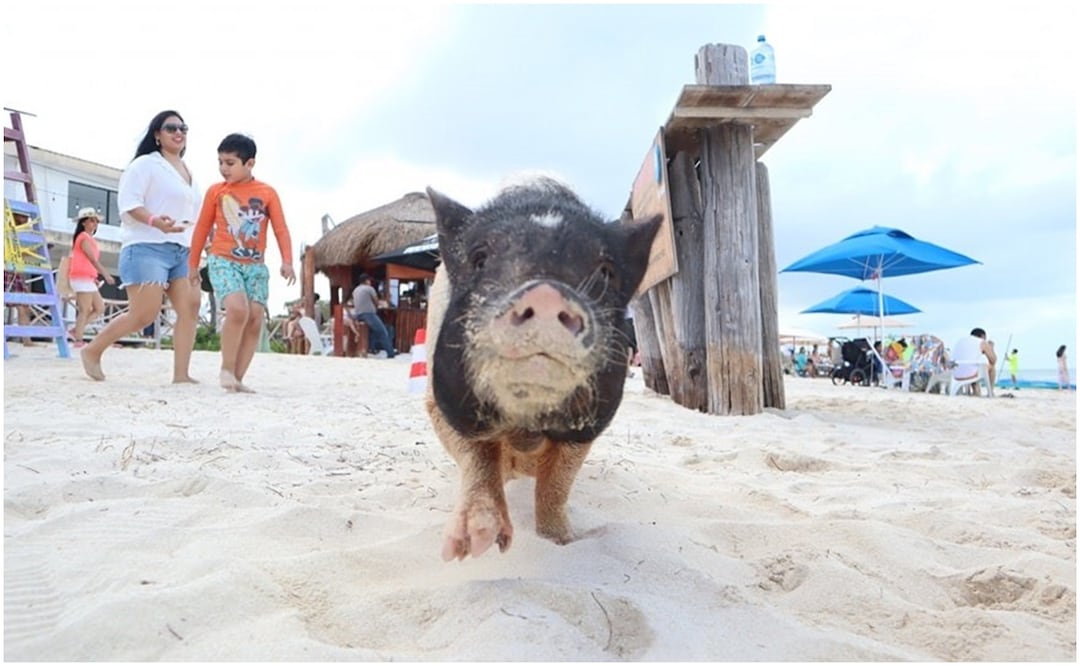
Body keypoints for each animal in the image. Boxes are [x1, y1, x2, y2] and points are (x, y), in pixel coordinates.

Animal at [424, 177, 661, 561]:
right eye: (479, 258)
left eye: (606, 272)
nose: (546, 294)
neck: (526, 426)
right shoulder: (438, 400)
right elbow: (478, 456)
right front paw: (472, 544)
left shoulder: (587, 426)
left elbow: (556, 486)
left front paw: (561, 542)